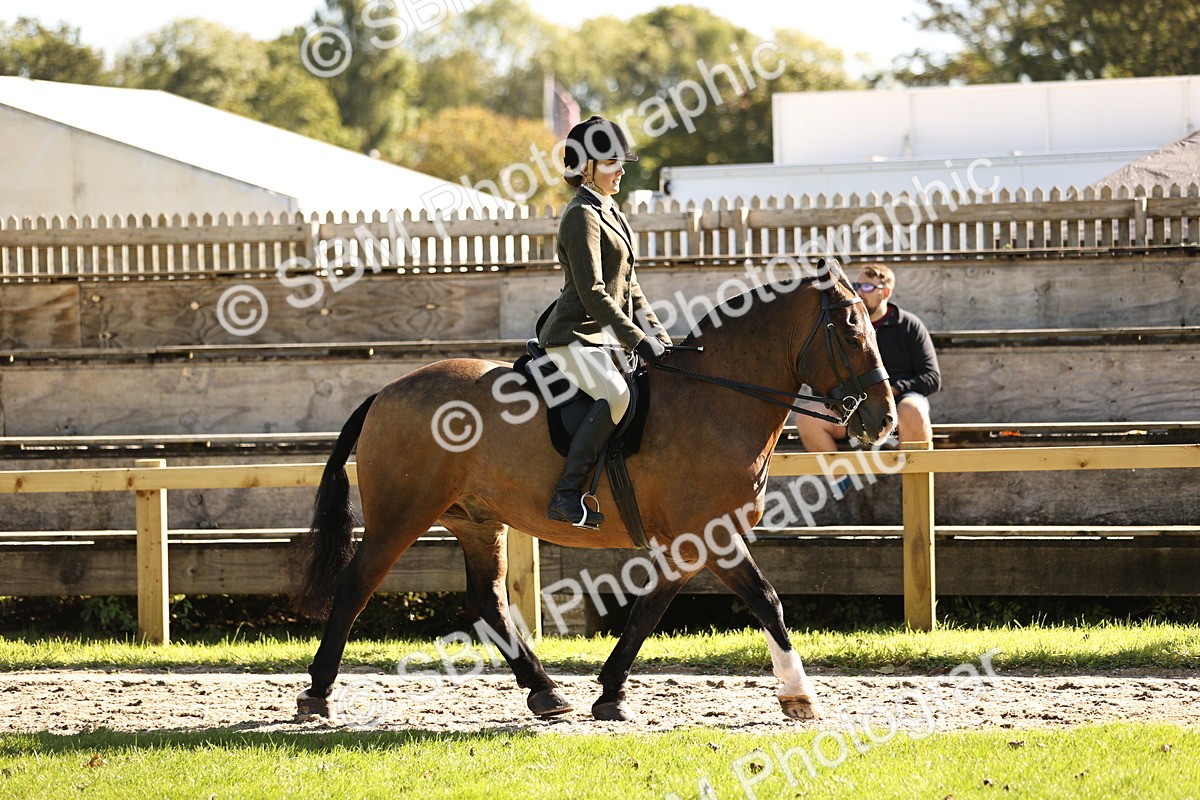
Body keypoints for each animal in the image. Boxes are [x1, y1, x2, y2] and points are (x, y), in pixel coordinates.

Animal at [289, 259, 896, 723]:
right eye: (850, 331)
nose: (883, 420)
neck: (717, 400)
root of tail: (386, 391)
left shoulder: (689, 544)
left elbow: (649, 611)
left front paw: (610, 693)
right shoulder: (714, 535)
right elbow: (767, 600)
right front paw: (799, 695)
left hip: (478, 521)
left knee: (488, 601)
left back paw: (545, 692)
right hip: (401, 515)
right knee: (356, 585)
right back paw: (317, 695)